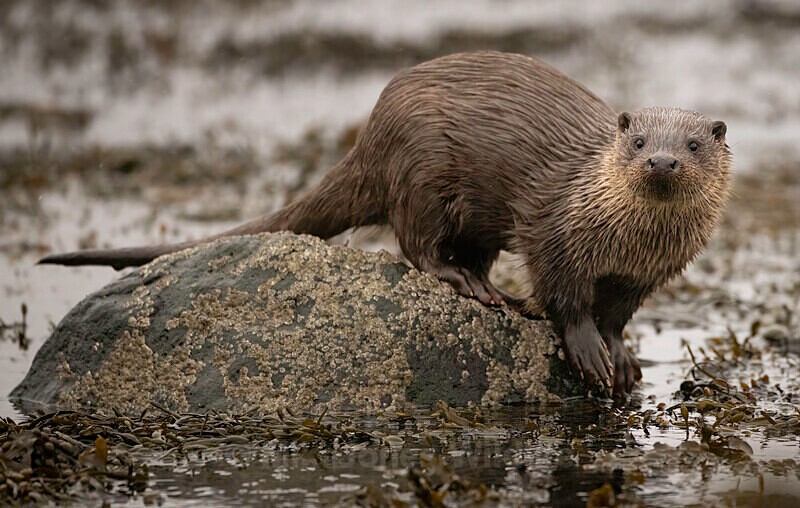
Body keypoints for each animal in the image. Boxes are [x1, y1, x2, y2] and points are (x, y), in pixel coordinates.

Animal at [40, 51, 732, 397]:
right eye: (638, 141)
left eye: (694, 144)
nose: (663, 160)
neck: (626, 241)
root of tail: (372, 129)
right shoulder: (555, 230)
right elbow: (566, 297)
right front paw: (588, 351)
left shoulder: (644, 275)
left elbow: (618, 315)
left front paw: (624, 358)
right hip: (423, 171)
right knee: (416, 243)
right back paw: (470, 285)